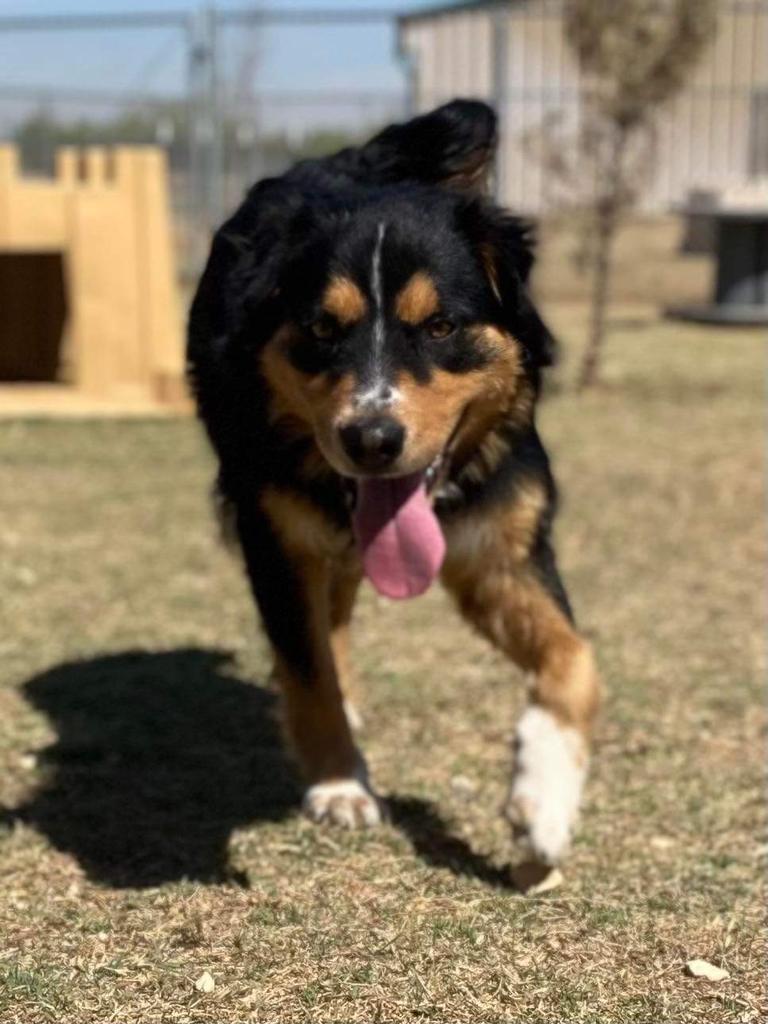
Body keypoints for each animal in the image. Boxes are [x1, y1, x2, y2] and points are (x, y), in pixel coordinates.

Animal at [188, 97, 602, 864]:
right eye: (323, 328)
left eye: (440, 326)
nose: (372, 440)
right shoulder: (276, 539)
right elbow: (307, 665)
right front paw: (339, 783)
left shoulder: (501, 549)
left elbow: (575, 655)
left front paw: (544, 799)